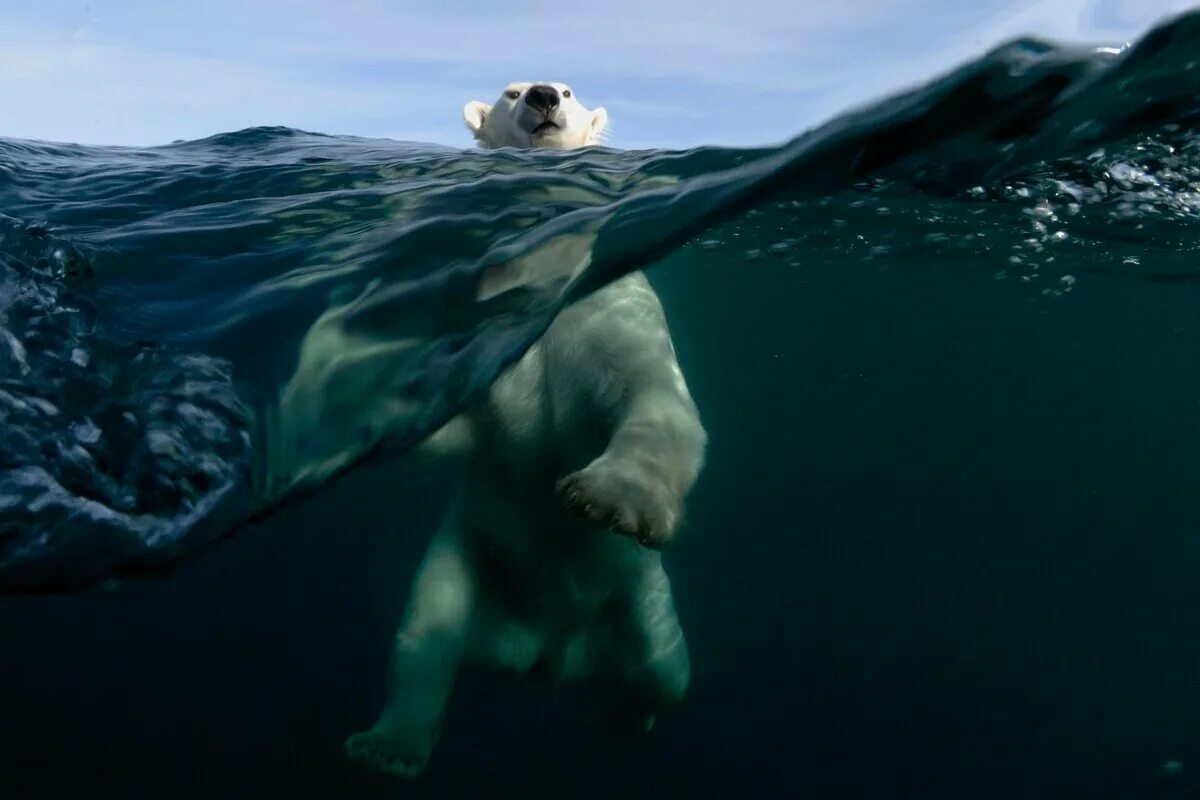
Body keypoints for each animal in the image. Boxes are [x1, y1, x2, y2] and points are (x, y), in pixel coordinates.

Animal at [343, 84, 705, 777]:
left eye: (567, 91)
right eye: (510, 92)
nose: (540, 96)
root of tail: (546, 654)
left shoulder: (606, 306)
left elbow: (650, 391)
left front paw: (611, 498)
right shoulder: (484, 326)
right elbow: (457, 423)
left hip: (639, 600)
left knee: (664, 671)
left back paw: (622, 722)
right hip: (465, 562)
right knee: (424, 638)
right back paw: (386, 747)